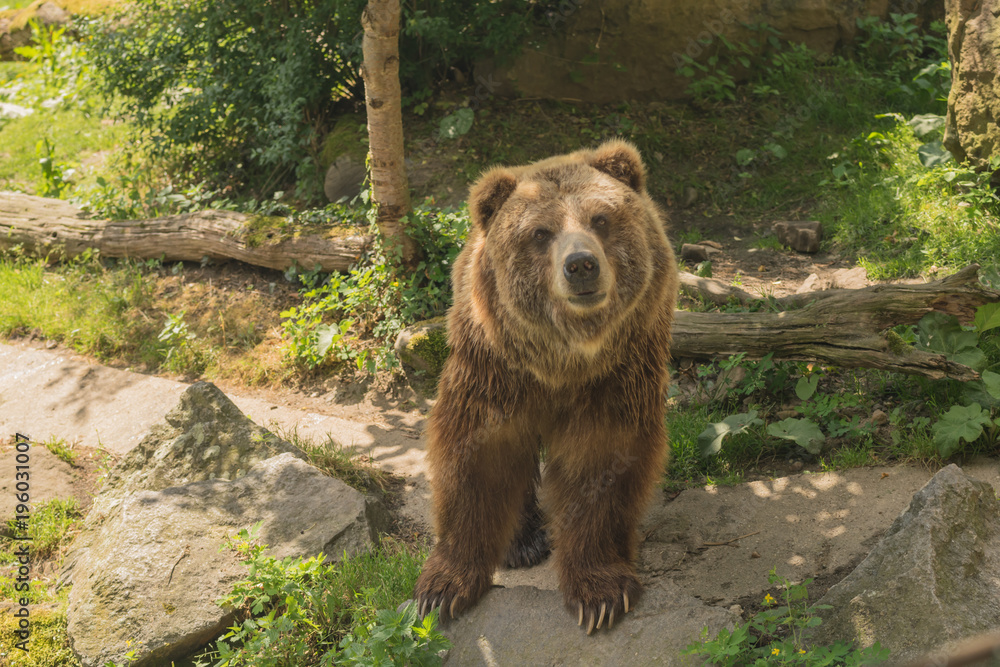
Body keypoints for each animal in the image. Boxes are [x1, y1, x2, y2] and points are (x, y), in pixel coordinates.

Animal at [413, 139, 678, 634]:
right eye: (540, 232)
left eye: (601, 218)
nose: (581, 265)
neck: (561, 363)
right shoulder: (496, 370)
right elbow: (477, 456)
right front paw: (442, 589)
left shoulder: (614, 378)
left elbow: (600, 464)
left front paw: (601, 594)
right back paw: (522, 542)